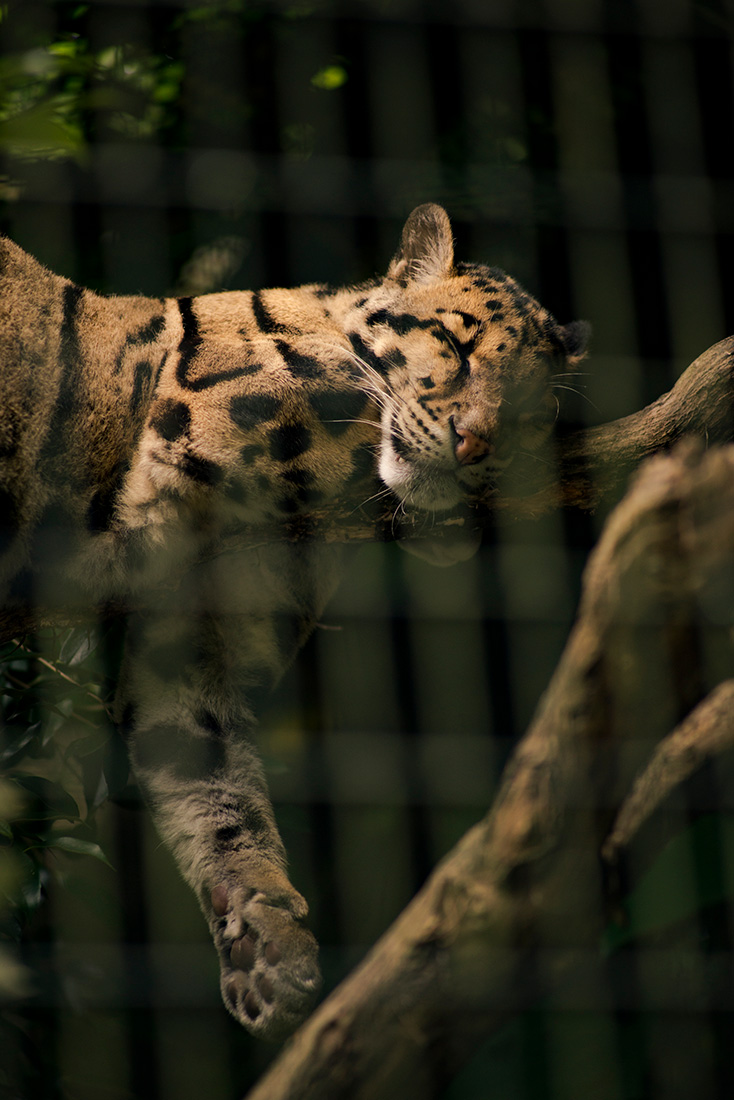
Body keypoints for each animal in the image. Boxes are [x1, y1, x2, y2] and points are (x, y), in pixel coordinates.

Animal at [0, 204, 589, 1040]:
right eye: (456, 343)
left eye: (535, 411)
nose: (477, 443)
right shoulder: (209, 415)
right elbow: (349, 394)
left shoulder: (192, 646)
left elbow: (212, 784)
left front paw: (264, 936)